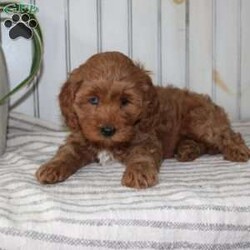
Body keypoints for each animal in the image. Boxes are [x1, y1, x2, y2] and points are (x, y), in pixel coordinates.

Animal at [35, 51, 250, 188]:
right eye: (93, 100)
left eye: (125, 101)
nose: (107, 130)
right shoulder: (79, 138)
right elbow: (67, 153)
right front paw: (51, 167)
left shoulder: (147, 140)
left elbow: (141, 156)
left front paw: (138, 174)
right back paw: (187, 149)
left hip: (201, 121)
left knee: (227, 135)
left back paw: (238, 151)